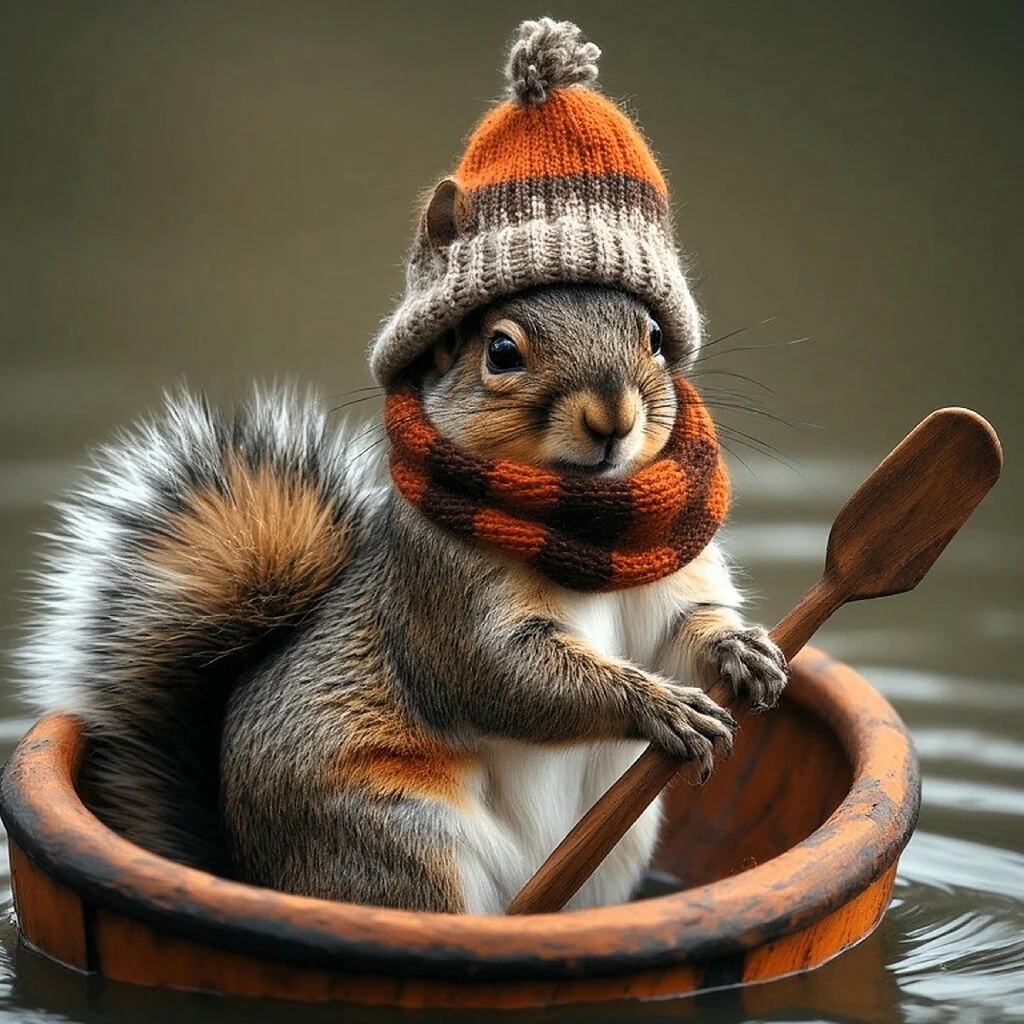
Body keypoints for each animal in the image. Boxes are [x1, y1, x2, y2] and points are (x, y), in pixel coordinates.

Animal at [16, 19, 787, 913]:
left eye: (656, 339)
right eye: (500, 351)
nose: (613, 417)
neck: (586, 527)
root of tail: (253, 871)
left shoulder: (671, 577)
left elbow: (682, 630)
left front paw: (742, 652)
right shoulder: (443, 594)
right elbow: (512, 677)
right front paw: (658, 706)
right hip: (399, 839)